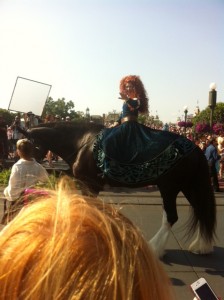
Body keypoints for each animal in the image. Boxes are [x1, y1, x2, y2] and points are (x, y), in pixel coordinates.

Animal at [19, 120, 217, 256]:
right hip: (188, 186)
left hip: (170, 188)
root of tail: (196, 148)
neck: (81, 142)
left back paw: (154, 248)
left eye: (27, 145)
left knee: (171, 217)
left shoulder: (91, 185)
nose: (24, 159)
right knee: (201, 211)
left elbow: (89, 206)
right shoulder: (78, 178)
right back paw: (201, 246)